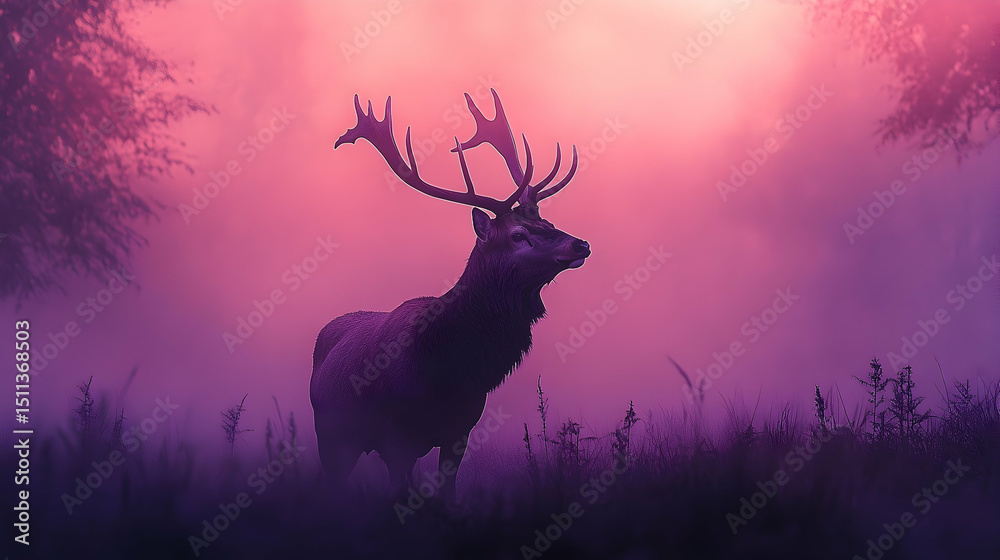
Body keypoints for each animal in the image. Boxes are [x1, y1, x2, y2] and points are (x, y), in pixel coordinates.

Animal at [310, 89, 590, 501]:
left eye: (549, 222)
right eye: (518, 234)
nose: (580, 244)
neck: (448, 368)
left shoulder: (461, 428)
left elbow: (447, 494)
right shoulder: (396, 435)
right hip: (328, 432)